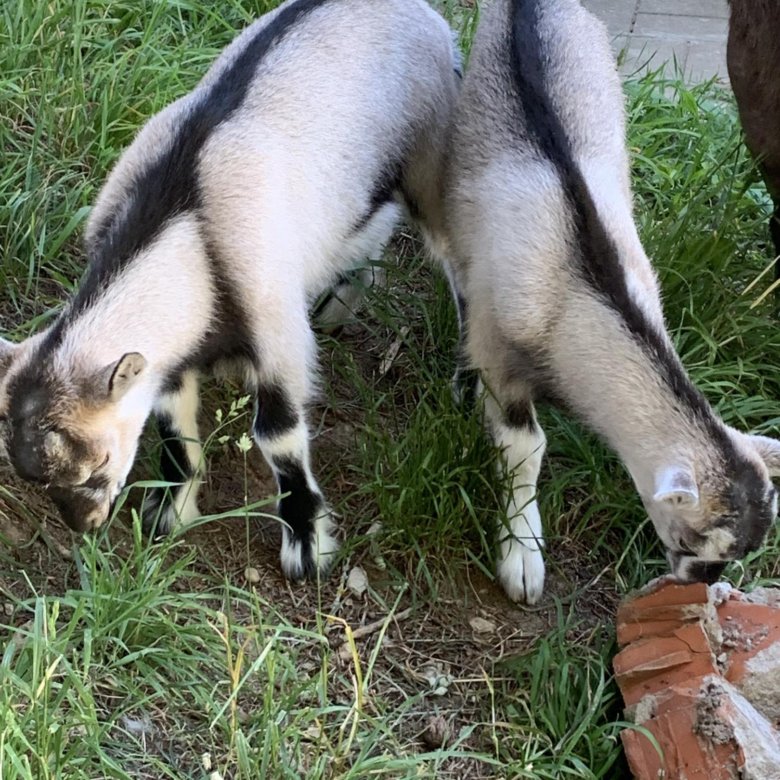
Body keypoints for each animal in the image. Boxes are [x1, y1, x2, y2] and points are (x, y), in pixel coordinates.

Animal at [0, 0, 460, 580]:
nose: (86, 523)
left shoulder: (277, 334)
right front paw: (171, 510)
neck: (185, 213)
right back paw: (343, 301)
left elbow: (279, 437)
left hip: (431, 166)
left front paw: (307, 545)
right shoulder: (170, 350)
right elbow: (174, 424)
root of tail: (429, 17)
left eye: (98, 461)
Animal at [436, 0, 780, 604]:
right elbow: (525, 447)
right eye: (691, 541)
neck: (577, 291)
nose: (699, 581)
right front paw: (522, 555)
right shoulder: (501, 347)